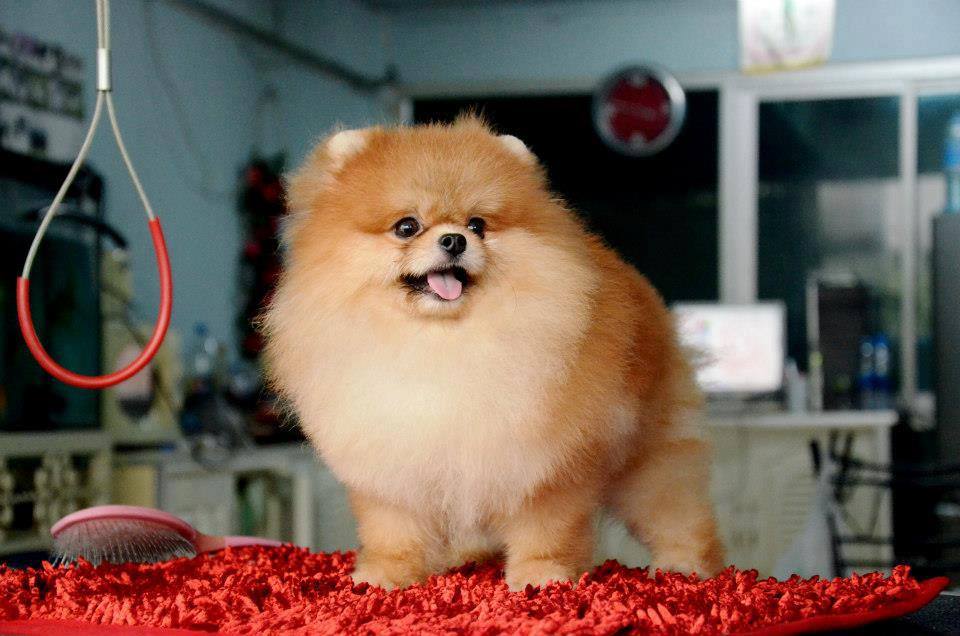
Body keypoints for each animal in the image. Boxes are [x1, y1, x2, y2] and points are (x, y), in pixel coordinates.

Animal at [261, 115, 724, 591]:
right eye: (407, 226)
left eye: (478, 225)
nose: (454, 240)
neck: (440, 343)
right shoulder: (394, 461)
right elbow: (393, 531)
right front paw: (384, 576)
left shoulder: (546, 463)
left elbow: (546, 530)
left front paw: (541, 575)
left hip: (648, 461)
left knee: (678, 513)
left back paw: (684, 566)